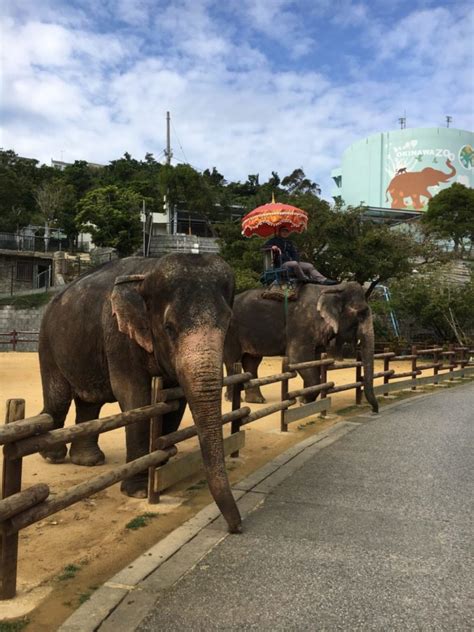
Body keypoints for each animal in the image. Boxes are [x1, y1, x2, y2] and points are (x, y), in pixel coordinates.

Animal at [39, 252, 243, 532]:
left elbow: (175, 400)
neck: (147, 273)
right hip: (48, 342)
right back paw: (53, 456)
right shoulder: (118, 336)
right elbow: (135, 397)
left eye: (228, 323)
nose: (237, 527)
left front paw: (160, 467)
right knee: (58, 398)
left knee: (89, 402)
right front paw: (138, 491)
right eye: (169, 327)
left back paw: (88, 461)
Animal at [225, 282, 378, 412]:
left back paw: (257, 400)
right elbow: (298, 359)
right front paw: (303, 401)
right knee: (233, 360)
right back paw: (232, 400)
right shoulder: (302, 324)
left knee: (252, 361)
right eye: (361, 314)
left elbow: (314, 360)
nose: (374, 410)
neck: (333, 288)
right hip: (231, 330)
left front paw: (306, 400)